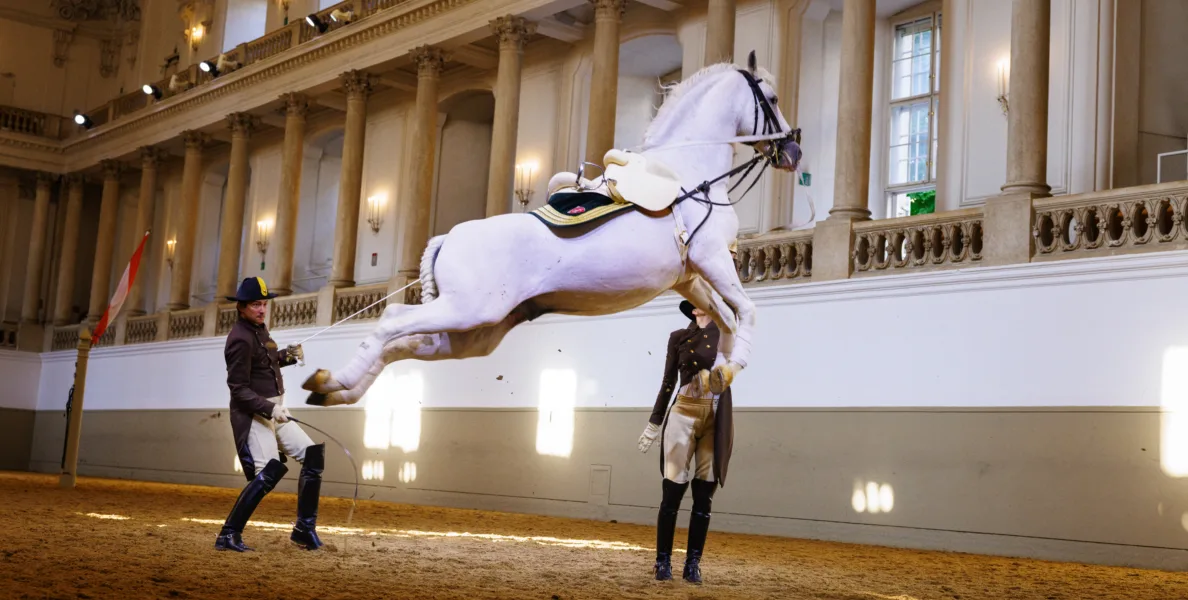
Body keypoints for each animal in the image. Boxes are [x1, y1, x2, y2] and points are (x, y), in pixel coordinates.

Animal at [301, 51, 803, 403]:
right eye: (774, 99)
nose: (794, 151)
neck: (686, 175)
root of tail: (448, 238)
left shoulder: (689, 278)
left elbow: (726, 318)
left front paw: (718, 374)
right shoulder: (711, 258)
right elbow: (747, 311)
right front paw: (730, 368)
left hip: (474, 332)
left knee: (402, 344)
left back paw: (332, 387)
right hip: (469, 310)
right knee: (390, 322)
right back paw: (333, 382)